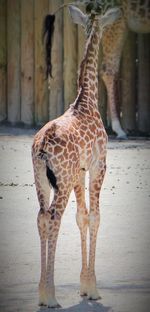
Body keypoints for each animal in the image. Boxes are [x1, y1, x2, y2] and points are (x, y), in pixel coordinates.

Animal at [31, 3, 120, 308]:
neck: (87, 100)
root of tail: (42, 146)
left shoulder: (80, 172)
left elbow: (82, 216)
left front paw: (84, 285)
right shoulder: (98, 166)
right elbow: (96, 216)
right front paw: (93, 289)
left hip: (41, 179)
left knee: (42, 216)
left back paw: (43, 292)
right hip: (63, 179)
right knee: (54, 217)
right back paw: (50, 296)